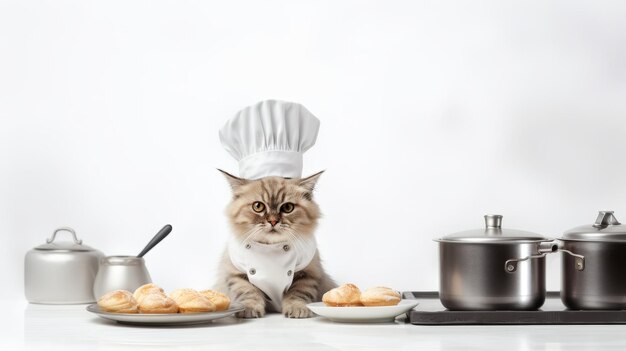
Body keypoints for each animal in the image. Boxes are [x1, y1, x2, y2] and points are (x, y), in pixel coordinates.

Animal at [213, 170, 334, 320]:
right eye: (258, 206)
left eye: (288, 207)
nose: (273, 221)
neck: (270, 249)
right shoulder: (236, 273)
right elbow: (248, 293)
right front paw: (249, 309)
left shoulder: (308, 273)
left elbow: (298, 294)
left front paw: (297, 309)